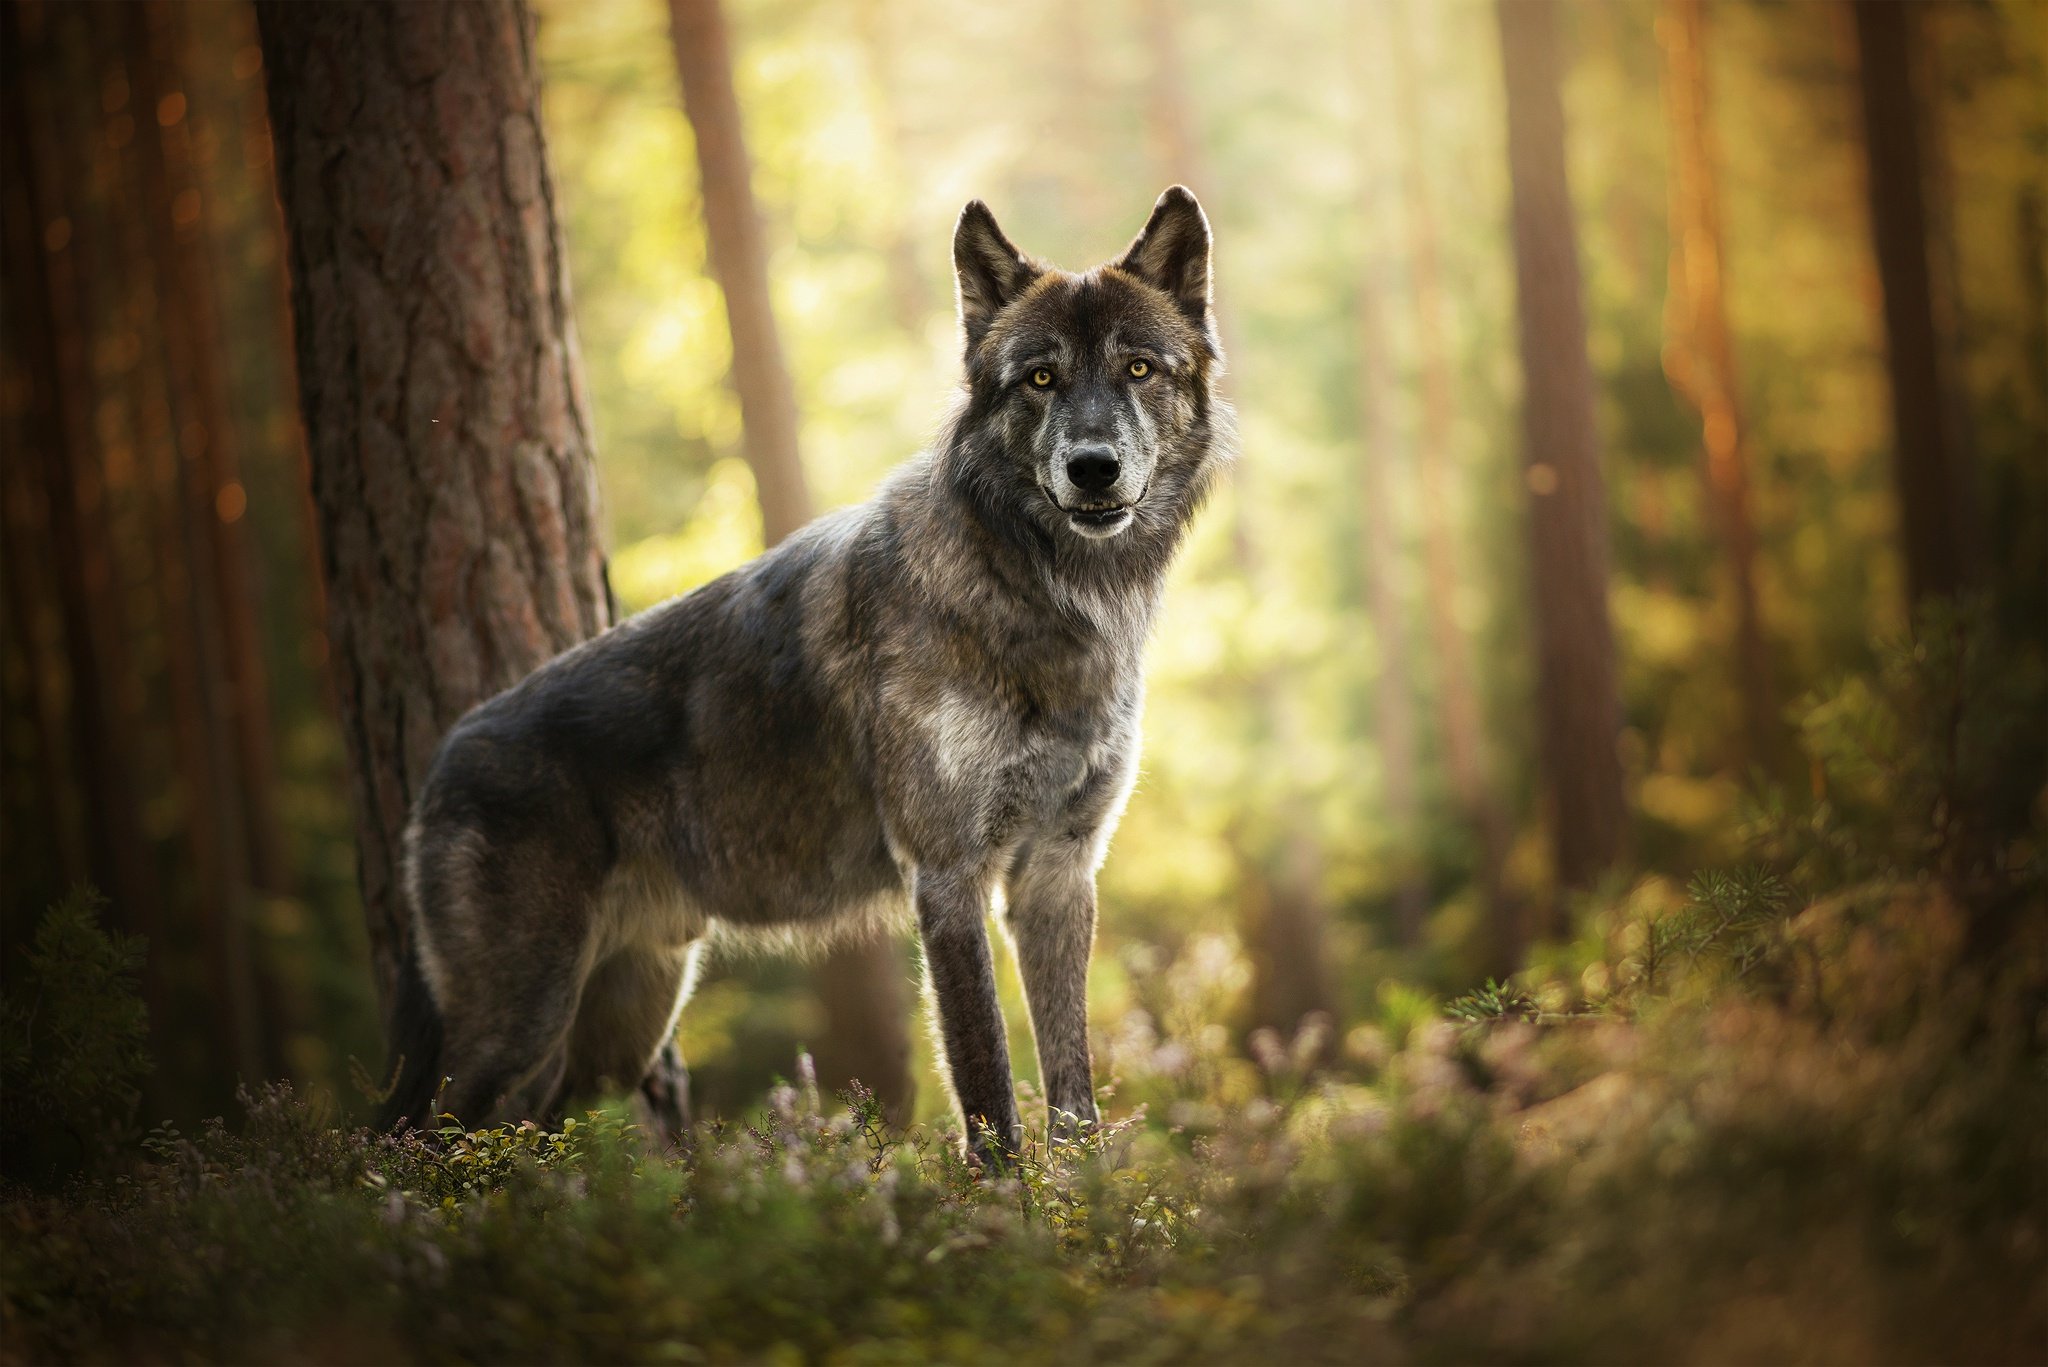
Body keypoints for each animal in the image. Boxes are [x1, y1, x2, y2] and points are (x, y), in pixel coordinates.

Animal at [382, 184, 1228, 1164]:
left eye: (1138, 368)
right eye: (1042, 379)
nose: (1093, 468)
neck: (1042, 595)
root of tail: (441, 759)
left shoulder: (1056, 879)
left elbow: (1074, 1098)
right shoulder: (948, 880)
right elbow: (989, 1094)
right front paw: (1003, 1204)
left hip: (609, 1033)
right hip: (519, 1025)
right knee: (410, 1141)